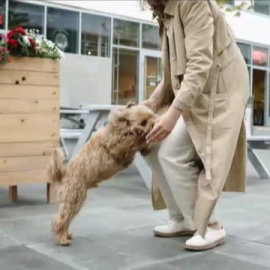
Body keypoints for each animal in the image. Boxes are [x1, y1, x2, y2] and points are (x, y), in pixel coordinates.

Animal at [47, 104, 155, 247]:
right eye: (143, 122)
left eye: (153, 115)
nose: (156, 124)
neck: (121, 127)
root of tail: (65, 173)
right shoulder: (119, 144)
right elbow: (133, 139)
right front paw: (142, 138)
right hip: (74, 198)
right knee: (60, 219)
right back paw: (62, 239)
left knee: (65, 219)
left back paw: (66, 234)